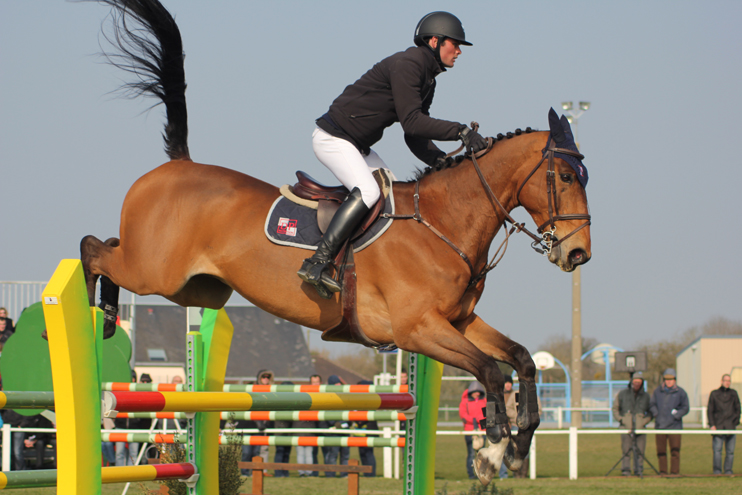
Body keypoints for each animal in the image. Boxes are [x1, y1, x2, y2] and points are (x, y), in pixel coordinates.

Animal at [81, 0, 592, 482]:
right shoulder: (418, 329)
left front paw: (516, 446)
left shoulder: (459, 321)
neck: (442, 224)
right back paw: (97, 314)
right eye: (567, 176)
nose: (577, 253)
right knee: (93, 249)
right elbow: (490, 370)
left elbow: (521, 359)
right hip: (154, 272)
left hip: (195, 288)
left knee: (109, 244)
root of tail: (177, 165)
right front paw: (493, 444)